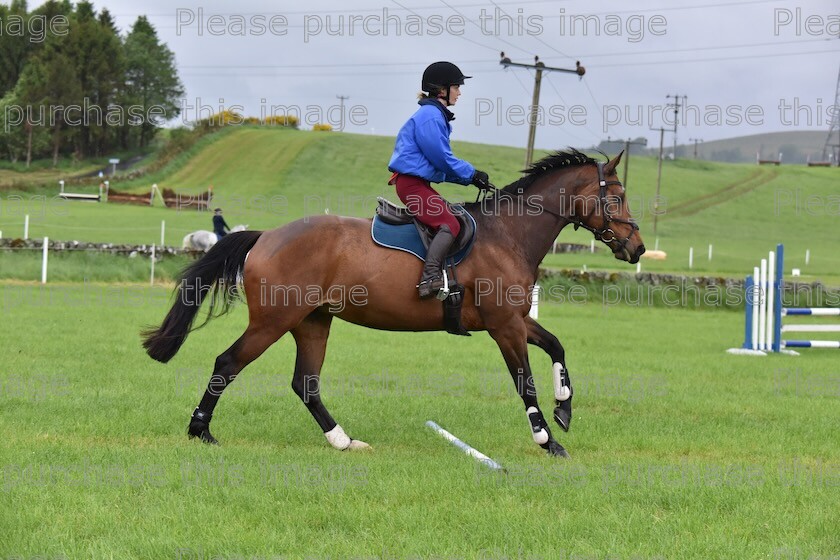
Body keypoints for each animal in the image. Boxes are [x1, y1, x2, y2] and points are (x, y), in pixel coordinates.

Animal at [143, 151, 644, 458]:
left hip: (312, 321)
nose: (637, 248)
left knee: (306, 383)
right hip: (274, 320)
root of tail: (266, 236)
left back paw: (343, 441)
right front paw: (546, 439)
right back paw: (201, 430)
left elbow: (557, 347)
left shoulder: (516, 320)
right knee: (228, 363)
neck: (509, 234)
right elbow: (525, 384)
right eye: (618, 197)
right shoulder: (505, 326)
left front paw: (564, 410)